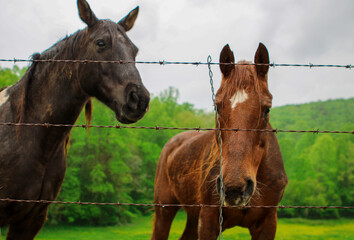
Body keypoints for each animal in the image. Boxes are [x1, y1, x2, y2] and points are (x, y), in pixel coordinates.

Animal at [151, 43, 288, 240]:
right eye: (217, 106)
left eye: (267, 109)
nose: (235, 187)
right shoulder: (208, 219)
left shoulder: (268, 222)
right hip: (165, 210)